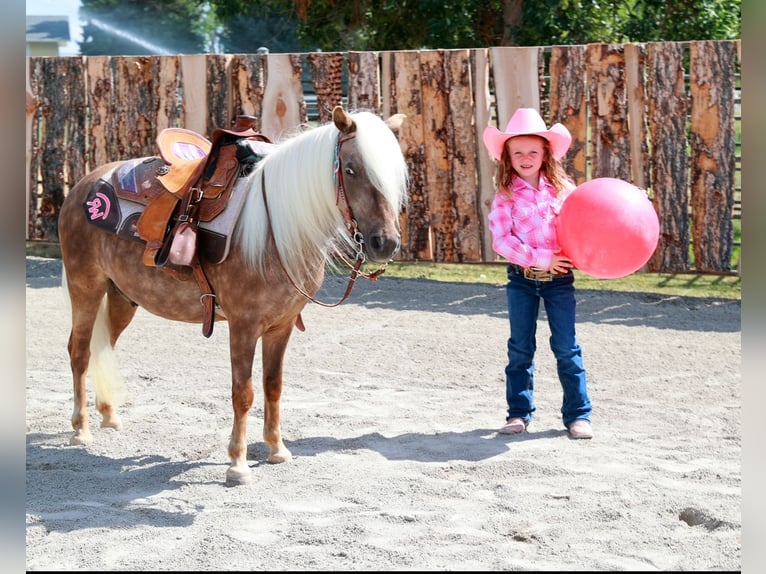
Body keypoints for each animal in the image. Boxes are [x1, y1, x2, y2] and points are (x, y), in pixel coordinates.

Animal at [58, 106, 409, 486]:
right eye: (351, 169)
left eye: (394, 173)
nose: (385, 243)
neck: (276, 229)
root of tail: (84, 184)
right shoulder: (243, 325)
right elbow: (244, 392)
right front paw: (238, 465)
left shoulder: (281, 326)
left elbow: (273, 386)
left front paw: (277, 450)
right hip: (86, 285)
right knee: (79, 352)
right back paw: (81, 429)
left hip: (123, 296)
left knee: (101, 347)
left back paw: (109, 414)